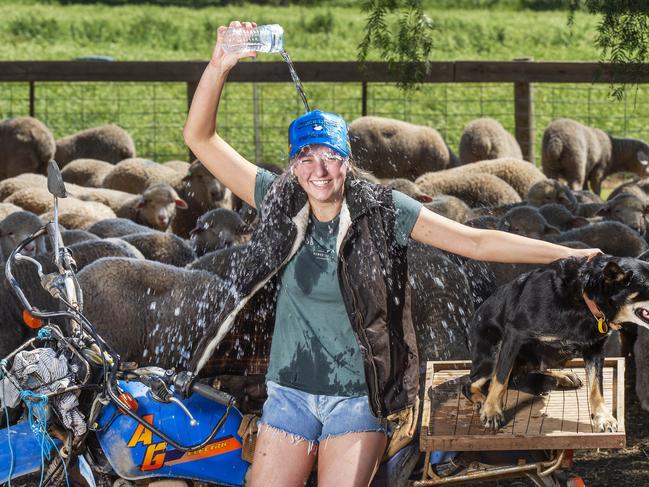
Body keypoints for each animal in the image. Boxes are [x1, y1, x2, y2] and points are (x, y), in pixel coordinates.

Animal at [464, 254, 648, 432]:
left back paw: (562, 376)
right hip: (491, 356)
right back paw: (481, 399)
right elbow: (501, 377)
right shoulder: (514, 334)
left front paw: (603, 417)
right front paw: (492, 411)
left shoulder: (594, 349)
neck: (583, 298)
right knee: (470, 381)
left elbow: (596, 386)